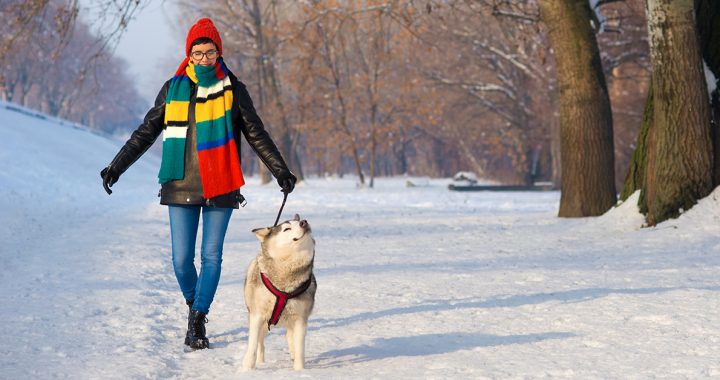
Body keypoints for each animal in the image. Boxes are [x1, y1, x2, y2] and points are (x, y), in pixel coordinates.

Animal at [242, 214, 316, 372]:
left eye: (299, 222)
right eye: (286, 228)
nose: (304, 222)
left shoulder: (300, 318)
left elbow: (299, 348)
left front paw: (299, 370)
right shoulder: (257, 315)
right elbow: (253, 345)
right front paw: (246, 369)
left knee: (290, 336)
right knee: (260, 342)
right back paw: (261, 362)